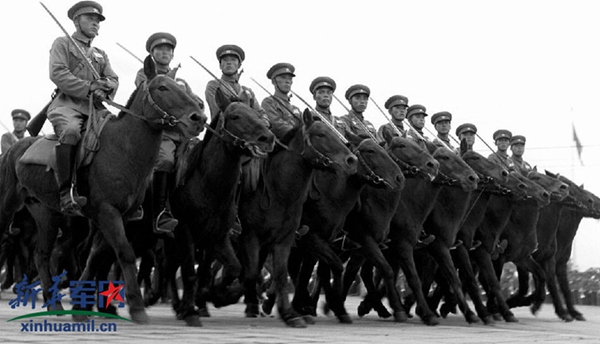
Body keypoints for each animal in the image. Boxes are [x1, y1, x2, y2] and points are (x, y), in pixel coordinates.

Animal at [0, 65, 206, 326]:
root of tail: (14, 149)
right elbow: (124, 253)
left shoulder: (119, 217)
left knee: (41, 255)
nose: (199, 118)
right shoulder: (107, 213)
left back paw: (54, 304)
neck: (124, 148)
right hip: (7, 205)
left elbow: (97, 257)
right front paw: (136, 306)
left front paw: (81, 306)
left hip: (46, 214)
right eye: (163, 87)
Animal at [166, 86, 274, 326]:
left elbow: (232, 268)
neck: (208, 186)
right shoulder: (185, 231)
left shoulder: (218, 236)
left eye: (256, 113)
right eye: (235, 116)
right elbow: (190, 272)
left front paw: (216, 295)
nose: (268, 138)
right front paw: (191, 309)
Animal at [237, 110, 356, 328]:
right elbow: (254, 272)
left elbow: (288, 273)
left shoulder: (287, 241)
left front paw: (293, 312)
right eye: (320, 134)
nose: (351, 161)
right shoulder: (252, 237)